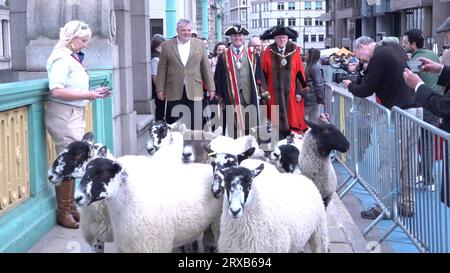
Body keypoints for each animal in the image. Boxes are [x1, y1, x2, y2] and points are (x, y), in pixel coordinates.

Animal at [75, 154, 223, 252]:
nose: (77, 197)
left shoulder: (153, 246)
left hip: (217, 223)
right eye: (85, 171)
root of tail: (209, 167)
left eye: (103, 173)